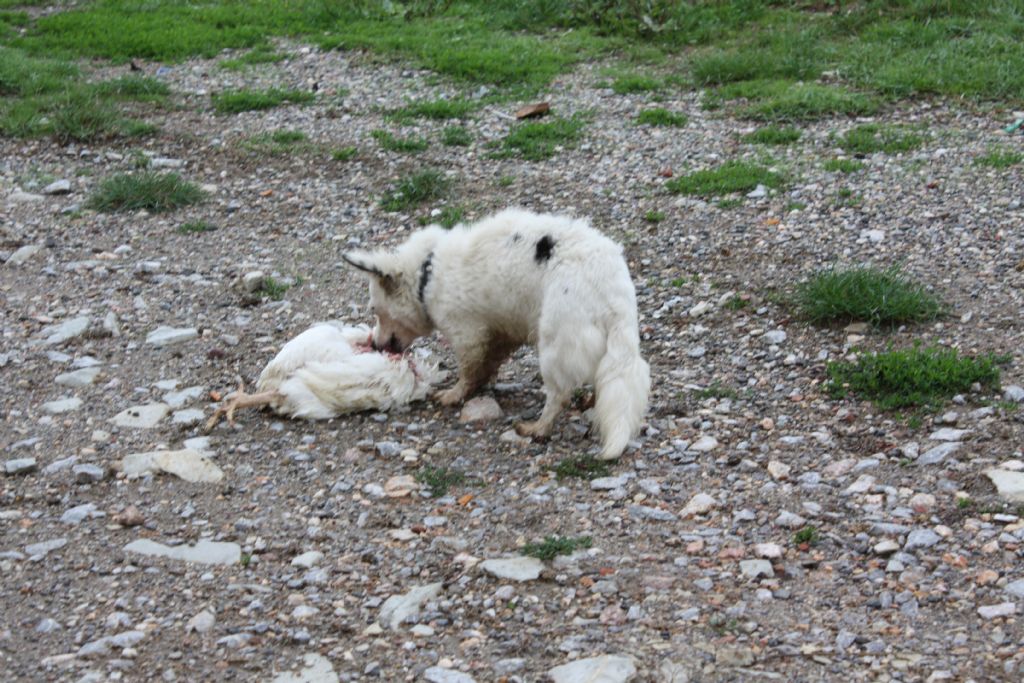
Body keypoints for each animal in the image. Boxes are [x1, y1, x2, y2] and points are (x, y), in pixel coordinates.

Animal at [344, 208, 647, 458]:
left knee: (558, 395)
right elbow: (487, 364)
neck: (427, 273)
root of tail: (613, 293)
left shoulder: (467, 334)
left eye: (375, 310)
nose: (376, 345)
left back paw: (537, 427)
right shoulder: (501, 332)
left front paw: (454, 394)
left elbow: (468, 370)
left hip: (553, 346)